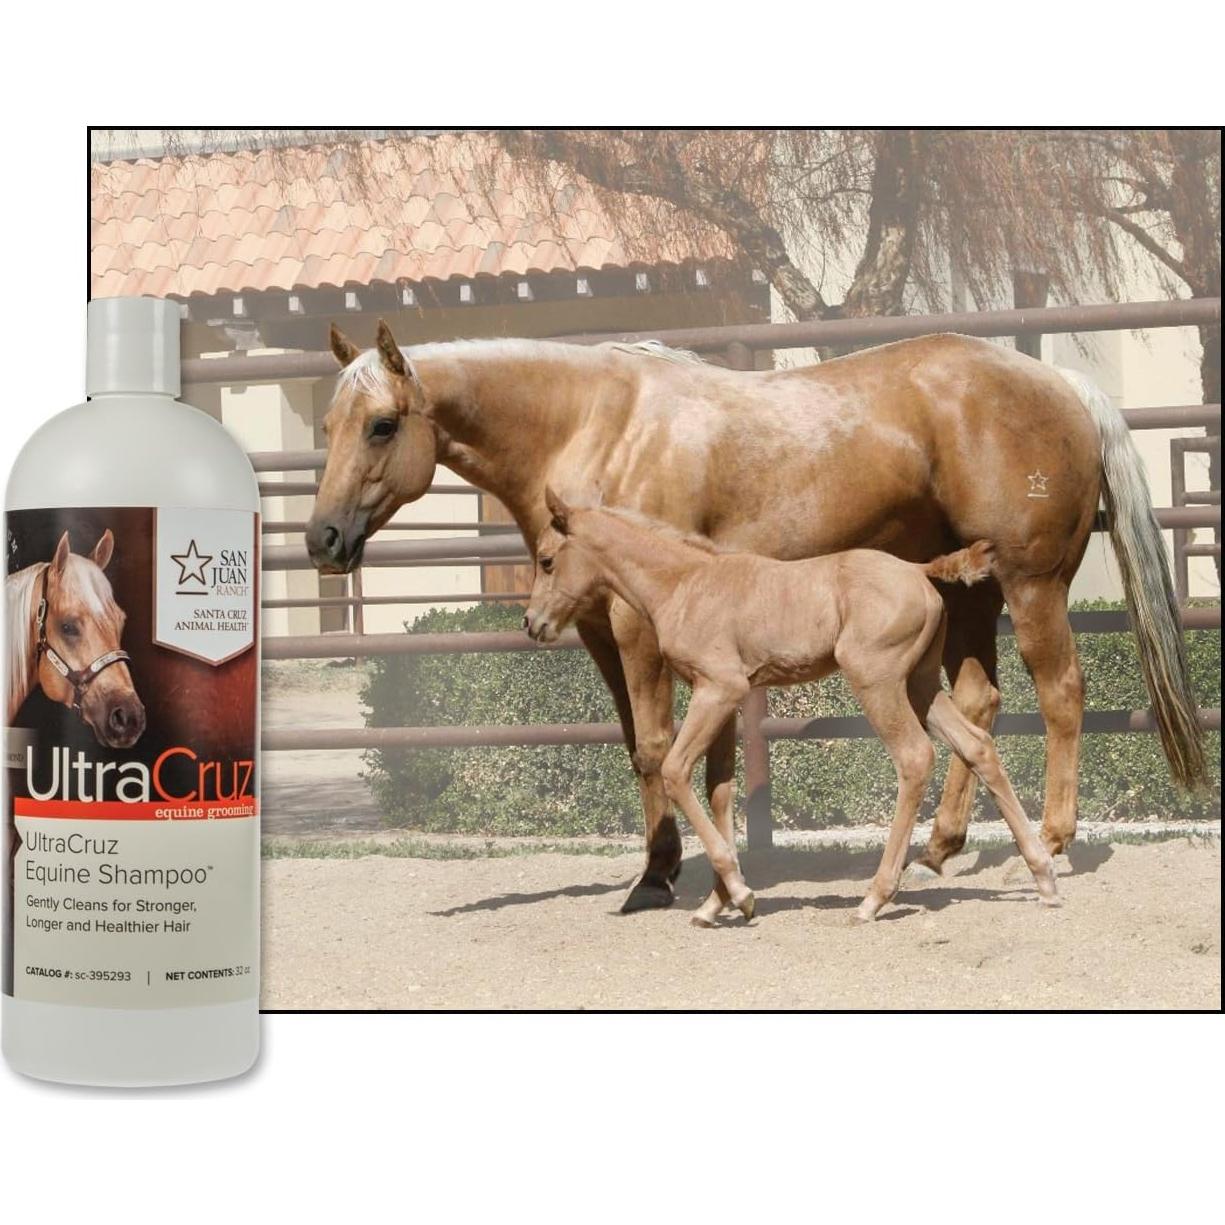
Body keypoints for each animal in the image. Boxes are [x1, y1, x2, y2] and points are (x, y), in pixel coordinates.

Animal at [524, 490, 1060, 924]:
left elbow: (676, 771)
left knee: (914, 757)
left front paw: (740, 895)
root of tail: (916, 569)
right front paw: (717, 903)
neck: (685, 583)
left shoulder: (718, 689)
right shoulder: (723, 696)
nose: (532, 623)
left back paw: (875, 897)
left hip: (878, 682)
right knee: (977, 745)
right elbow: (720, 790)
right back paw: (1043, 877)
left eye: (546, 560)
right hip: (920, 684)